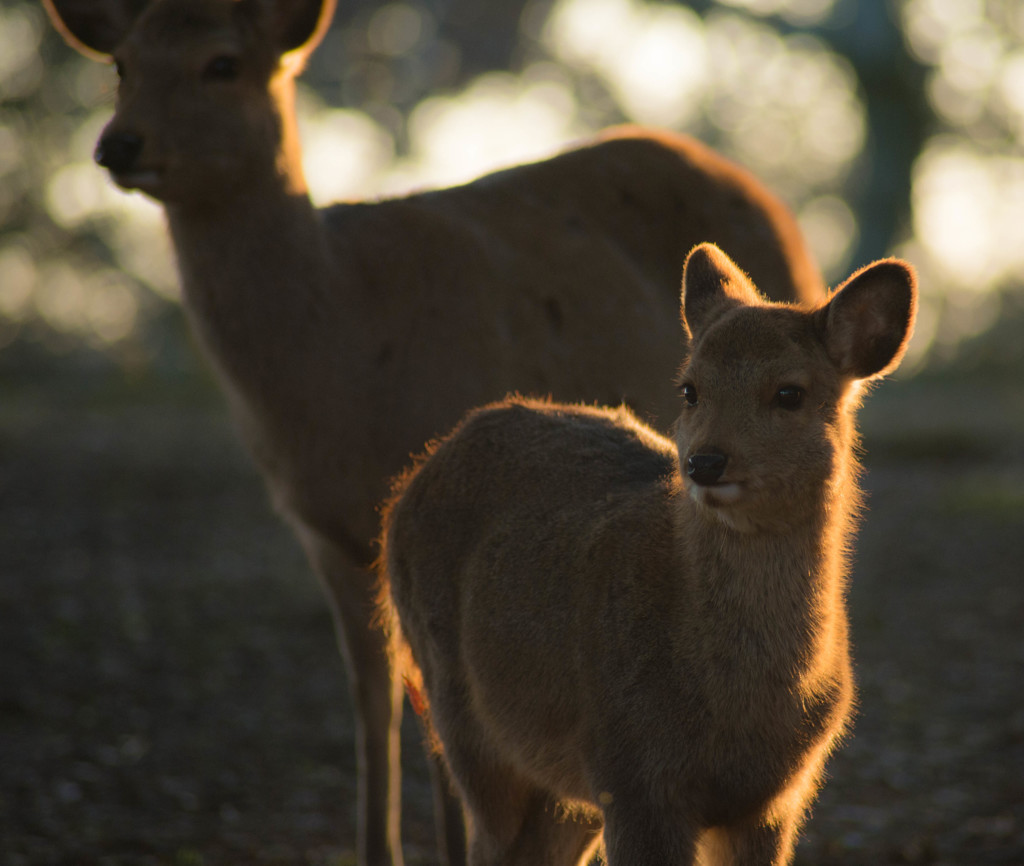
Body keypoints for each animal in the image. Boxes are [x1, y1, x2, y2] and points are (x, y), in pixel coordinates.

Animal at [44, 3, 823, 863]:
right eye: (120, 63)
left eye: (223, 63)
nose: (118, 143)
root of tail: (773, 204)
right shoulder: (324, 531)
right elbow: (371, 700)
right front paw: (374, 846)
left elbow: (440, 734)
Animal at [378, 242, 921, 866]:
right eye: (690, 389)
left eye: (790, 392)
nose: (705, 462)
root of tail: (406, 488)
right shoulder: (630, 770)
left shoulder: (774, 798)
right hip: (464, 717)